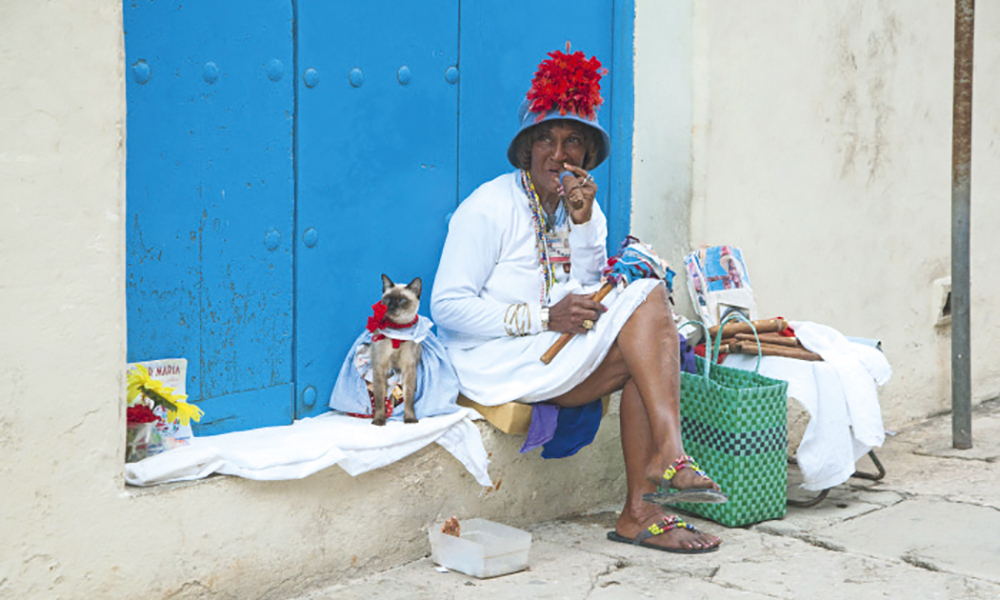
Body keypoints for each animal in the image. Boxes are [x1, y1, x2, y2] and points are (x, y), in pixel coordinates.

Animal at [372, 274, 426, 424]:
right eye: (387, 299)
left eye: (402, 300)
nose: (390, 306)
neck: (398, 332)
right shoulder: (380, 367)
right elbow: (379, 398)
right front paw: (379, 420)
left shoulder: (408, 369)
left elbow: (409, 398)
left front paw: (410, 418)